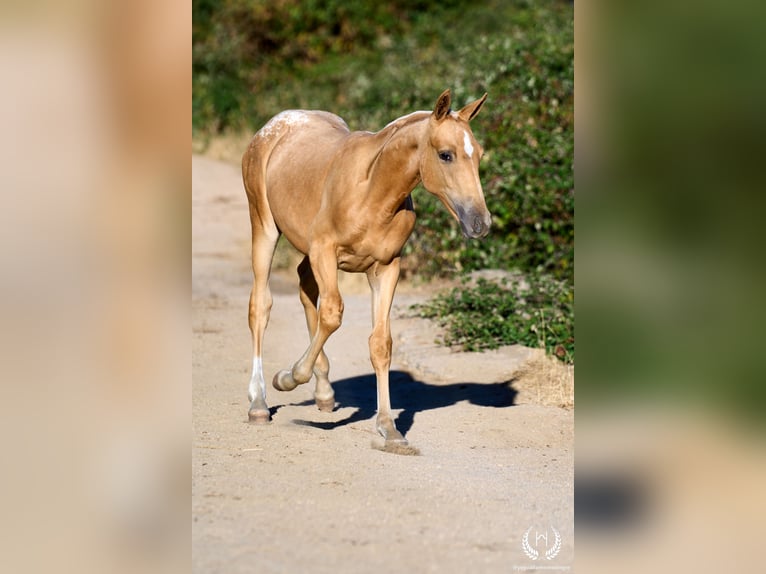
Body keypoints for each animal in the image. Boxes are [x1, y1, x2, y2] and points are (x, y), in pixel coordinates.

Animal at [241, 89, 491, 446]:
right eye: (446, 155)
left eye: (479, 154)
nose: (480, 223)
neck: (373, 191)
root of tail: (273, 125)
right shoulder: (325, 251)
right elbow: (332, 314)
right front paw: (288, 377)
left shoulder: (386, 268)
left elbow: (380, 342)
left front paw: (388, 427)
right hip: (264, 227)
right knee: (261, 306)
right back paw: (259, 402)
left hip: (307, 251)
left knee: (305, 287)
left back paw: (324, 392)